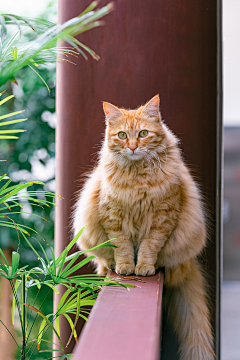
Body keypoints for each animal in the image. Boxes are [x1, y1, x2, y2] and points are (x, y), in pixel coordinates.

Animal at [72, 95, 214, 360]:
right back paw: (112, 265)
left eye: (143, 133)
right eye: (122, 135)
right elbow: (123, 247)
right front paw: (126, 266)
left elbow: (149, 247)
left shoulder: (162, 218)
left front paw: (144, 267)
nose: (132, 147)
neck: (137, 177)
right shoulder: (113, 218)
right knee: (104, 260)